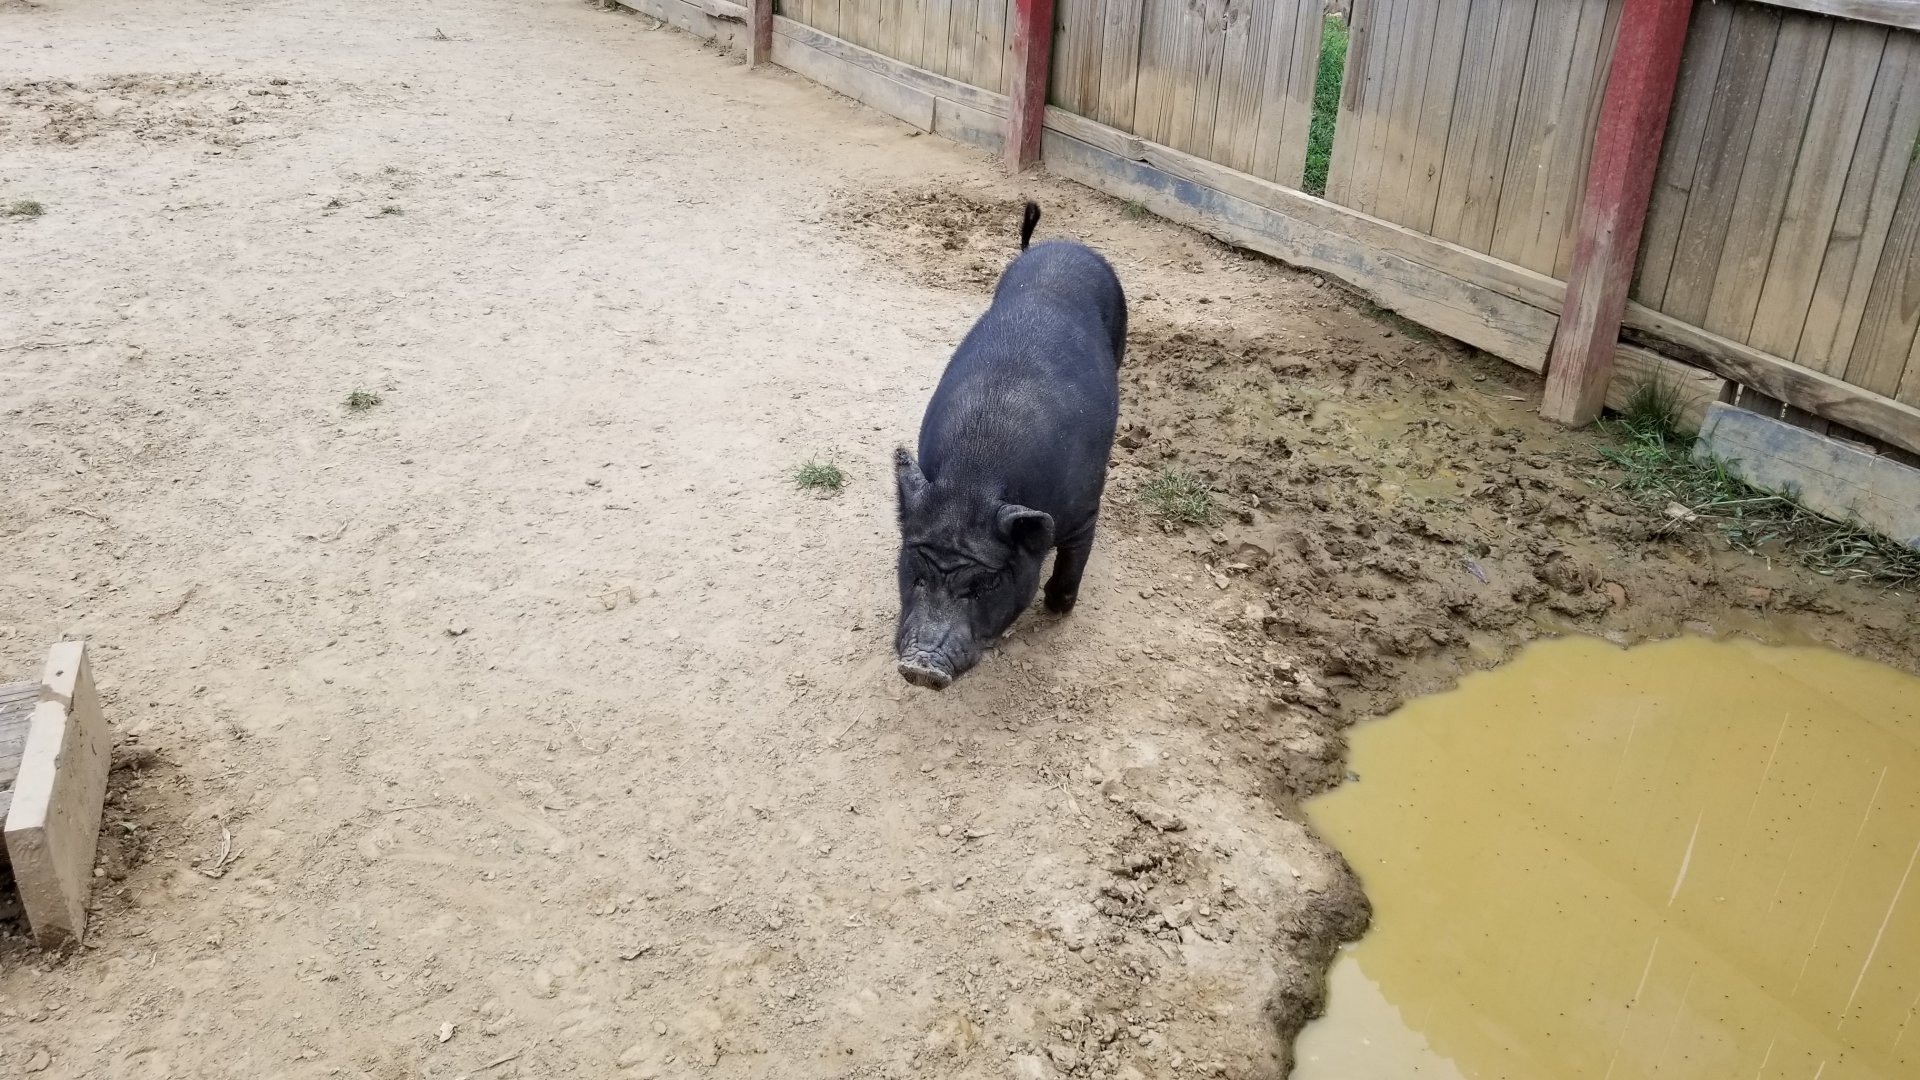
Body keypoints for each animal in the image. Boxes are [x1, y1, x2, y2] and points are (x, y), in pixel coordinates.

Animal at [894, 201, 1127, 690]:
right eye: (915, 573)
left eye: (984, 585)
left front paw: (1058, 610)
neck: (975, 476)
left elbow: (1071, 566)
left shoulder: (1085, 510)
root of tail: (1064, 243)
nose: (920, 667)